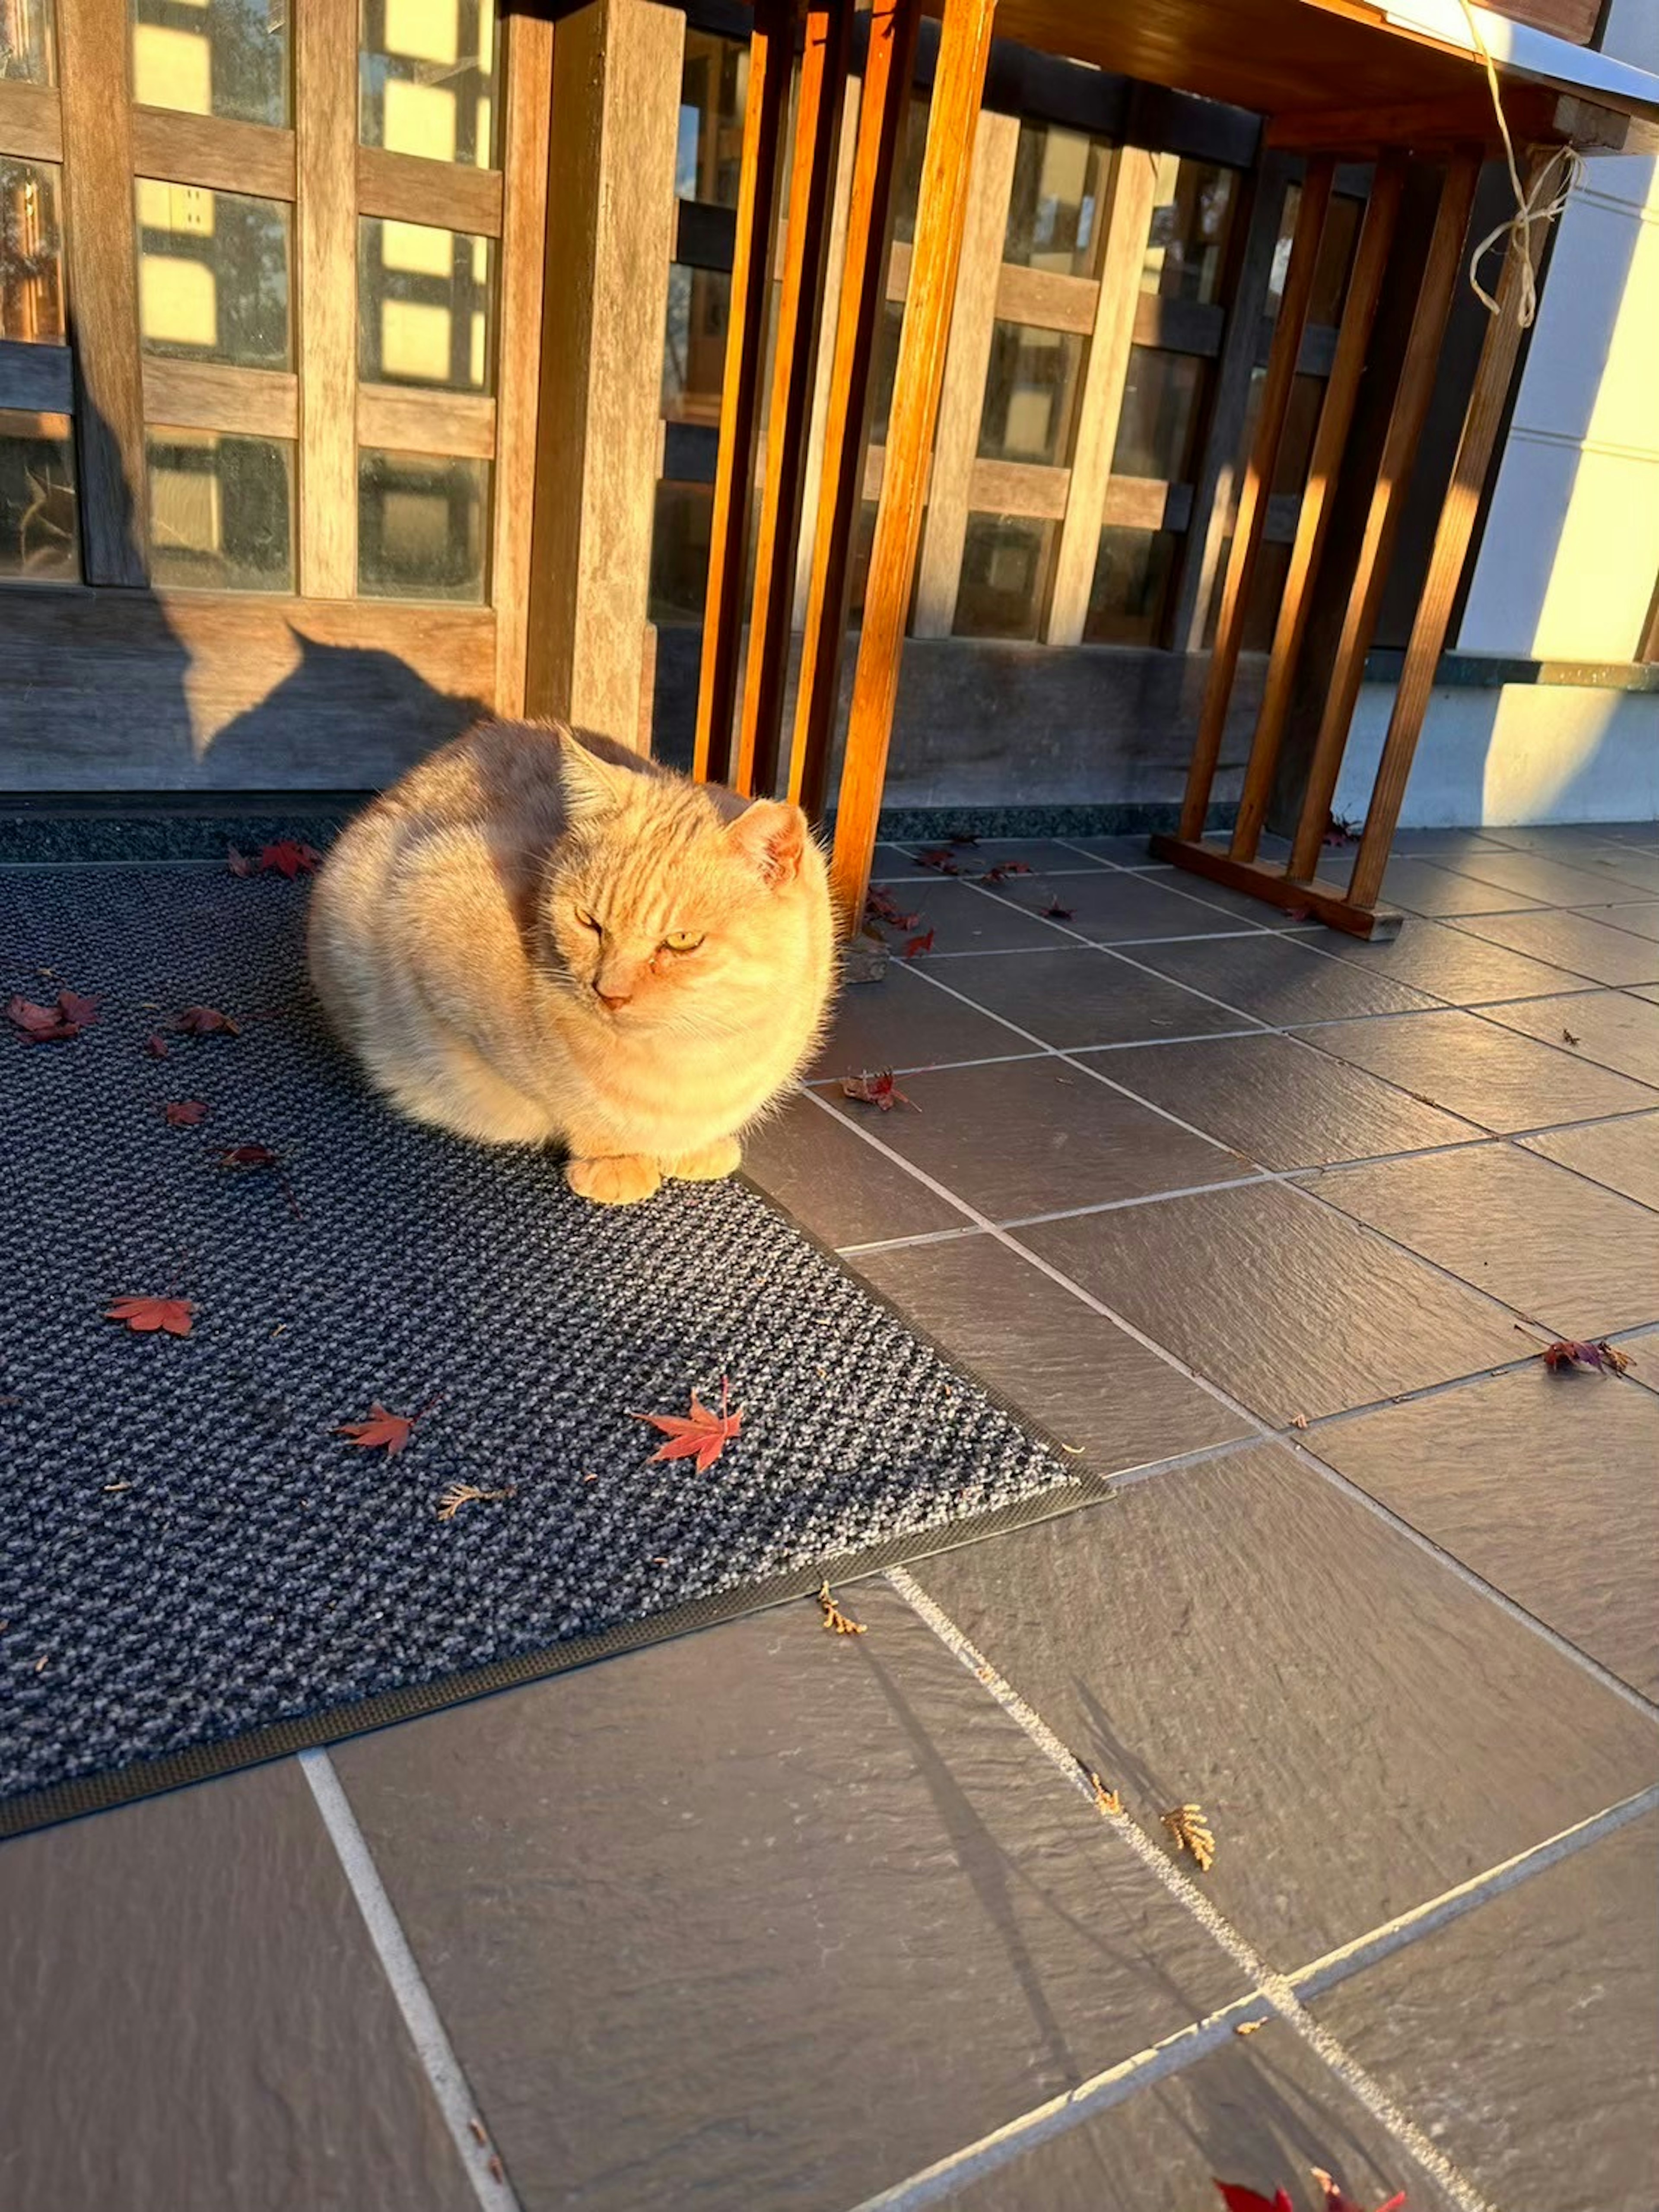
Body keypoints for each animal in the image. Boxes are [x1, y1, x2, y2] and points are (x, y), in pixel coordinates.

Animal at [307, 717, 836, 1203]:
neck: (696, 1054)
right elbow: (572, 1102)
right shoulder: (429, 893)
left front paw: (694, 1146)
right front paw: (614, 1158)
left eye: (683, 941)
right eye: (589, 921)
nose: (608, 992)